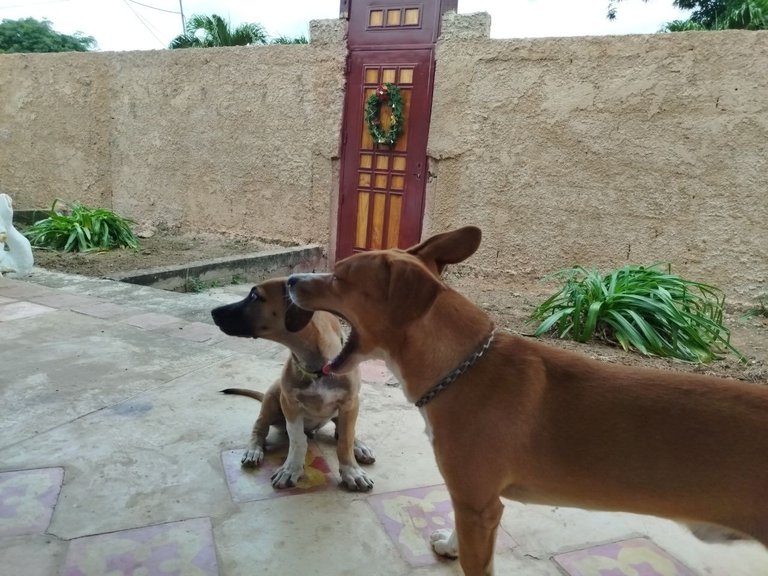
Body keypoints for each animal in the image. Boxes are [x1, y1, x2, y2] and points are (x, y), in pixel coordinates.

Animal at [211, 277, 374, 492]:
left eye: (255, 296)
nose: (213, 311)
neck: (317, 368)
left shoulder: (349, 403)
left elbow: (345, 440)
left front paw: (351, 472)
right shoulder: (290, 404)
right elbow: (297, 440)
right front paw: (291, 469)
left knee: (344, 431)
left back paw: (359, 446)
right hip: (272, 398)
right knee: (259, 427)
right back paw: (254, 450)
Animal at [287, 226, 768, 575]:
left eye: (340, 276)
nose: (290, 279)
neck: (463, 365)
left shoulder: (479, 505)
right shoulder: (471, 503)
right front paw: (449, 545)